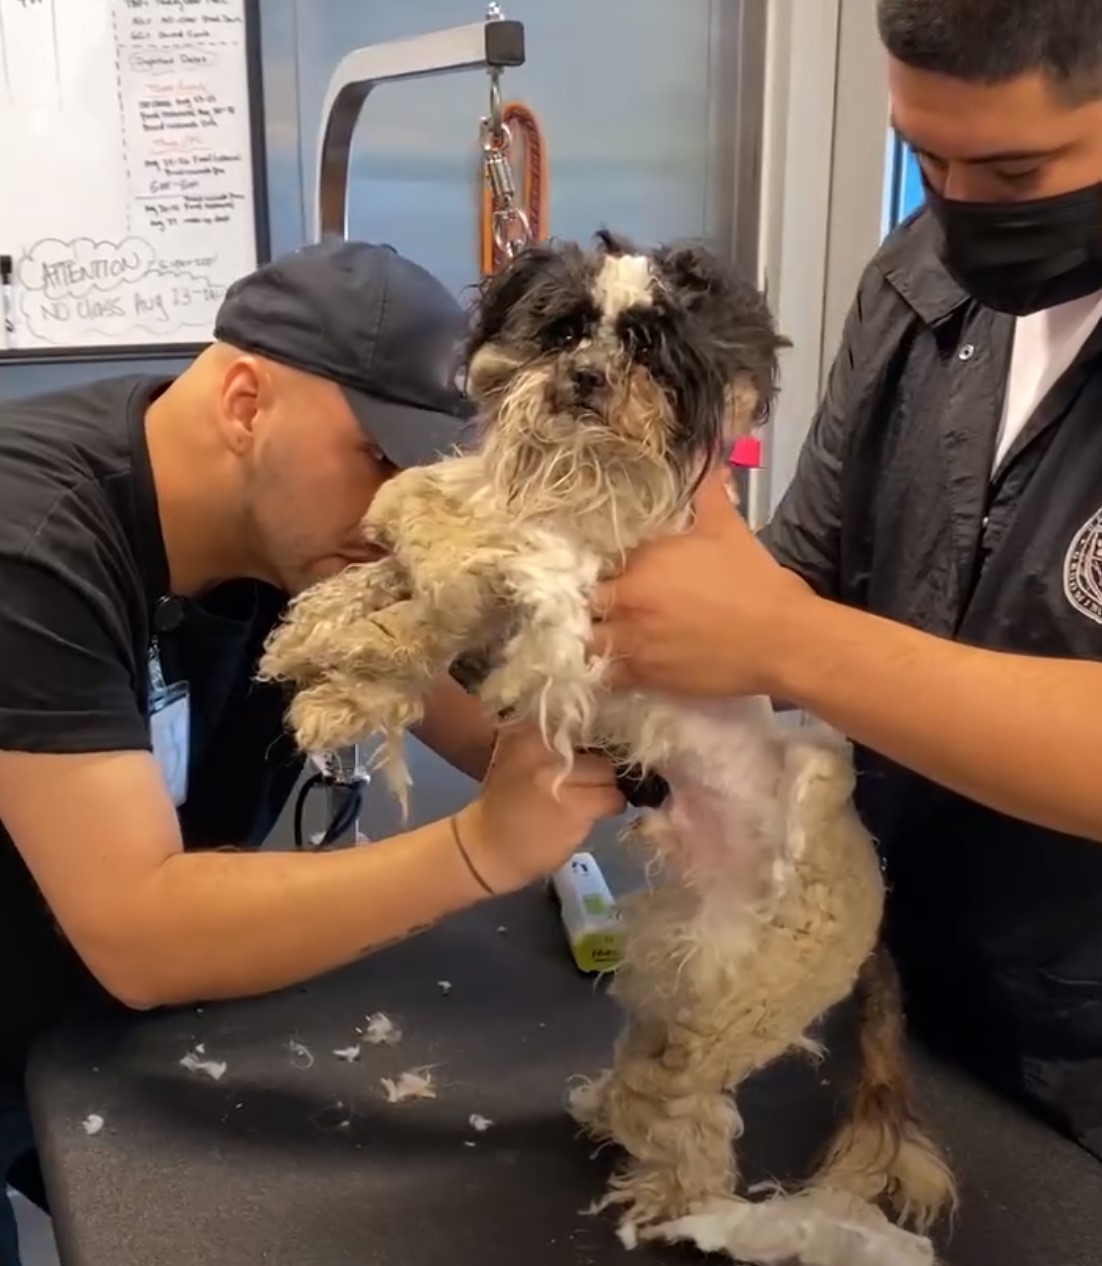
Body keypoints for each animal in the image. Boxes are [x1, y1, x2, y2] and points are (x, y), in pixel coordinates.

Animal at [258, 232, 957, 1260]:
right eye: (564, 329)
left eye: (650, 347)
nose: (585, 378)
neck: (579, 475)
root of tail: (875, 929)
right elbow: (410, 594)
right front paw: (320, 645)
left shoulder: (561, 581)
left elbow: (447, 540)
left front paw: (363, 620)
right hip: (675, 981)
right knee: (650, 1083)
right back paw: (607, 1120)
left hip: (732, 1002)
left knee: (694, 1130)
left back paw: (680, 1213)